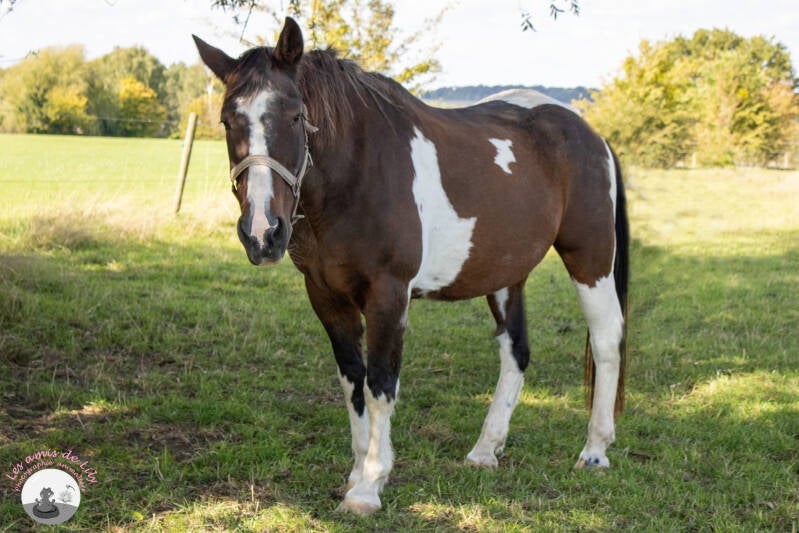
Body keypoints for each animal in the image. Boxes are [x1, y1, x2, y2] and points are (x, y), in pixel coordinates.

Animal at [193, 16, 629, 516]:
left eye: (295, 116)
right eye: (227, 121)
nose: (263, 233)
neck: (357, 173)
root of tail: (592, 135)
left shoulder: (388, 295)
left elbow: (381, 383)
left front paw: (368, 487)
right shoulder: (326, 297)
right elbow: (352, 381)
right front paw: (358, 471)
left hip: (590, 259)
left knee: (606, 341)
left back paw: (595, 451)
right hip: (505, 274)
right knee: (515, 350)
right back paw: (485, 450)